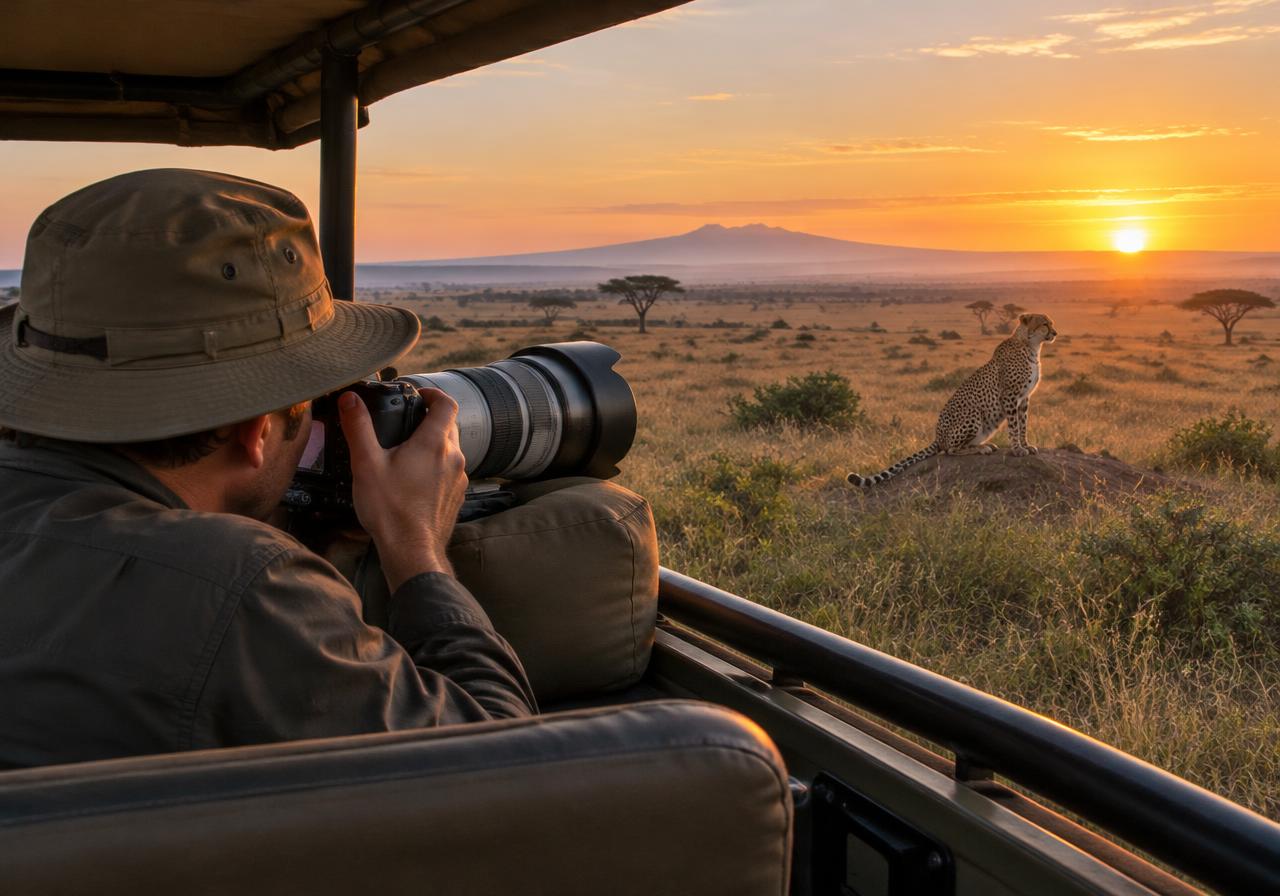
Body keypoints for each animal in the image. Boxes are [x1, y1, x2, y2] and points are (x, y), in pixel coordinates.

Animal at [847, 313, 1058, 488]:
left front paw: (1026, 445)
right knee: (950, 450)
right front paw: (1017, 449)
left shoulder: (1024, 398)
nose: (1055, 333)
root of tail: (937, 437)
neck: (1030, 346)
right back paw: (980, 449)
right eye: (1044, 324)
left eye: (1051, 323)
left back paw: (983, 445)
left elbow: (1023, 424)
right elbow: (1014, 426)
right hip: (972, 413)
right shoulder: (1010, 396)